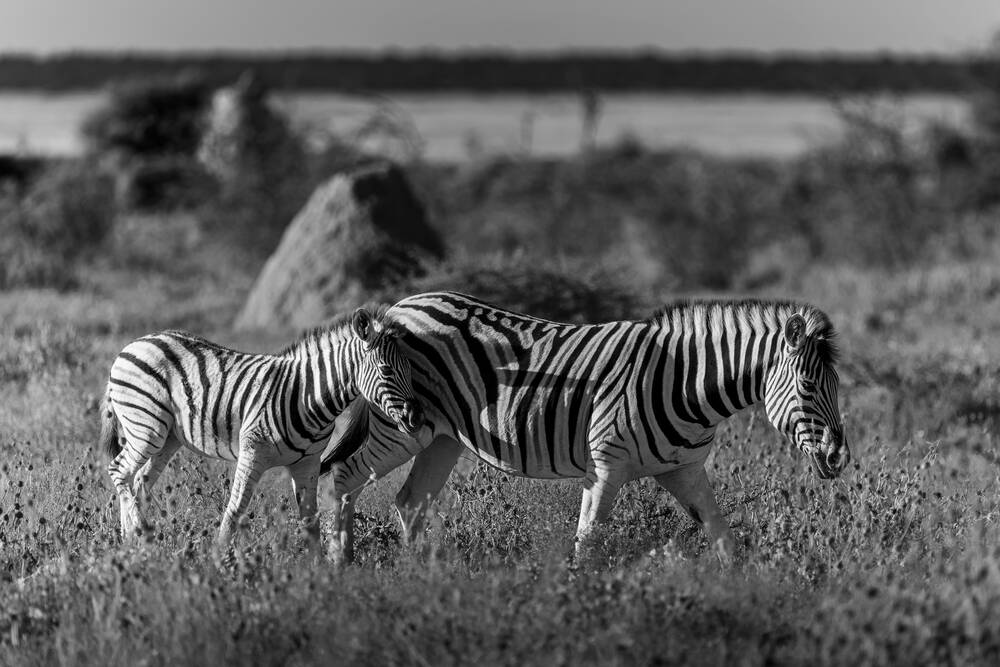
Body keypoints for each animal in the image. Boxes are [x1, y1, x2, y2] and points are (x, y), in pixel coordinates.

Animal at [99, 306, 425, 554]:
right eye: (386, 370)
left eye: (411, 370)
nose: (417, 417)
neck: (306, 395)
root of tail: (134, 344)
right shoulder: (252, 453)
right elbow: (234, 511)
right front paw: (218, 561)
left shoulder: (307, 464)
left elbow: (310, 521)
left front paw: (318, 573)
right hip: (147, 427)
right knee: (119, 471)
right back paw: (139, 536)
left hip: (168, 437)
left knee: (138, 481)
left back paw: (133, 543)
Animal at [320, 291, 849, 564]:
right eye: (807, 385)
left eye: (837, 385)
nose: (839, 458)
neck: (684, 382)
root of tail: (400, 305)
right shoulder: (605, 469)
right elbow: (588, 547)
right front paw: (582, 613)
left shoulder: (684, 470)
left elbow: (724, 540)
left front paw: (740, 595)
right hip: (400, 426)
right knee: (341, 477)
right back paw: (340, 566)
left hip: (442, 438)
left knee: (410, 503)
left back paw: (422, 577)